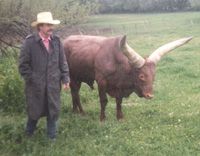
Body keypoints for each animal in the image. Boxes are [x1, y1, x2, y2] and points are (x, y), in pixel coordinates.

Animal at [63, 35, 192, 122]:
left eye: (153, 76)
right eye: (141, 76)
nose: (150, 95)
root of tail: (65, 41)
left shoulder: (119, 85)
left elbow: (119, 101)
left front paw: (120, 117)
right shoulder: (101, 81)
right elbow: (104, 101)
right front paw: (103, 118)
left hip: (77, 78)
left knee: (74, 93)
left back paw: (75, 112)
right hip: (72, 77)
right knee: (76, 94)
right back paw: (82, 113)